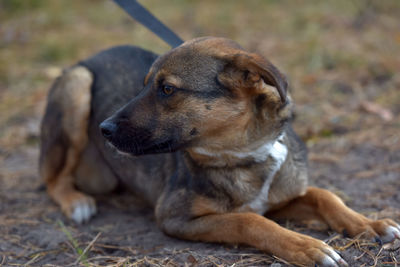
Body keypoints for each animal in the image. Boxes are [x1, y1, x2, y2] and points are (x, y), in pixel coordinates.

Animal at [40, 37, 400, 267]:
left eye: (166, 89)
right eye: (143, 87)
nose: (104, 129)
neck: (245, 154)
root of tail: (89, 58)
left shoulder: (280, 198)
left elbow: (325, 195)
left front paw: (369, 224)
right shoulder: (175, 217)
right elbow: (249, 220)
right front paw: (306, 247)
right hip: (76, 85)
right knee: (52, 178)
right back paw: (76, 203)